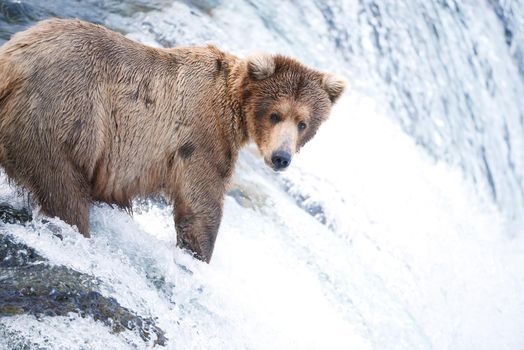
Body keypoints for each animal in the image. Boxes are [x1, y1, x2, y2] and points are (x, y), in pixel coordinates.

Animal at [0, 17, 346, 262]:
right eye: (275, 114)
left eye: (303, 123)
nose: (281, 158)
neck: (234, 106)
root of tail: (11, 59)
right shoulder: (202, 134)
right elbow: (201, 201)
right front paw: (198, 252)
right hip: (62, 116)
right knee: (63, 188)